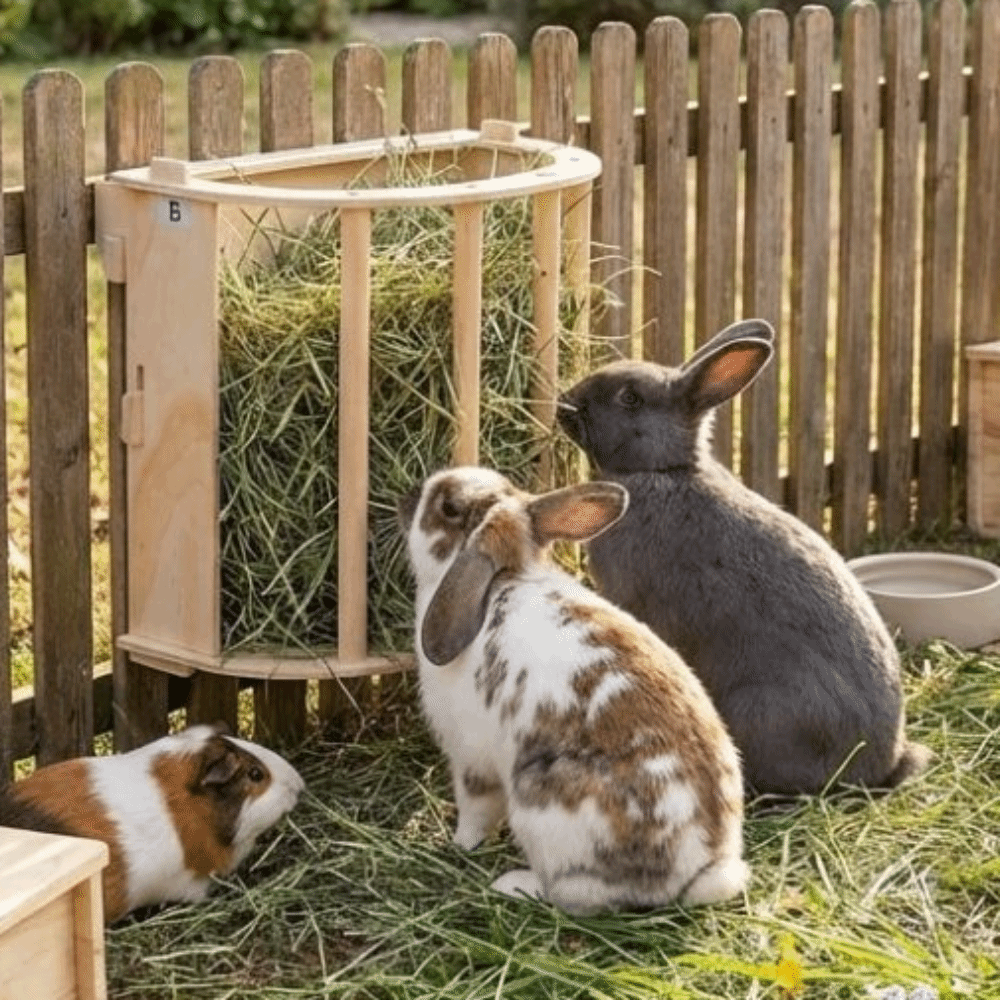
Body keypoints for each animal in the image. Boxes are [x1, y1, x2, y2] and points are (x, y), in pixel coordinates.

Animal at [397, 466, 749, 916]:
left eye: (449, 507)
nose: (406, 498)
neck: (503, 582)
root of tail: (696, 869)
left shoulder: (470, 759)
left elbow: (474, 812)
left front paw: (457, 844)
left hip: (540, 806)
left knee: (574, 895)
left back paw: (514, 884)